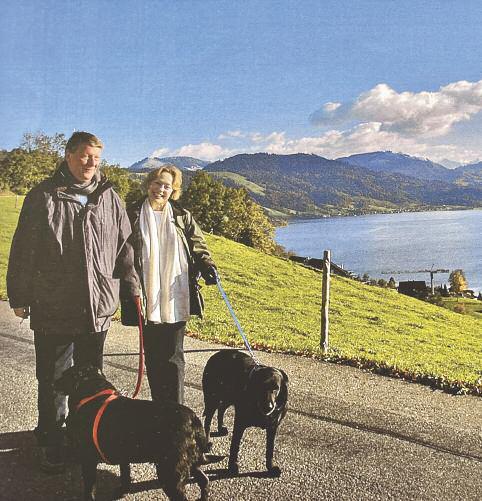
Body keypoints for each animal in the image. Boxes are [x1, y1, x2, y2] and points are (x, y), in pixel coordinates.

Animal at [55, 365, 212, 501]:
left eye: (64, 375)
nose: (54, 383)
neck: (93, 394)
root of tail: (194, 421)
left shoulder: (88, 458)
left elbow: (89, 486)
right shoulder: (123, 456)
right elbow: (125, 475)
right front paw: (122, 491)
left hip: (171, 472)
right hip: (190, 463)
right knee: (204, 480)